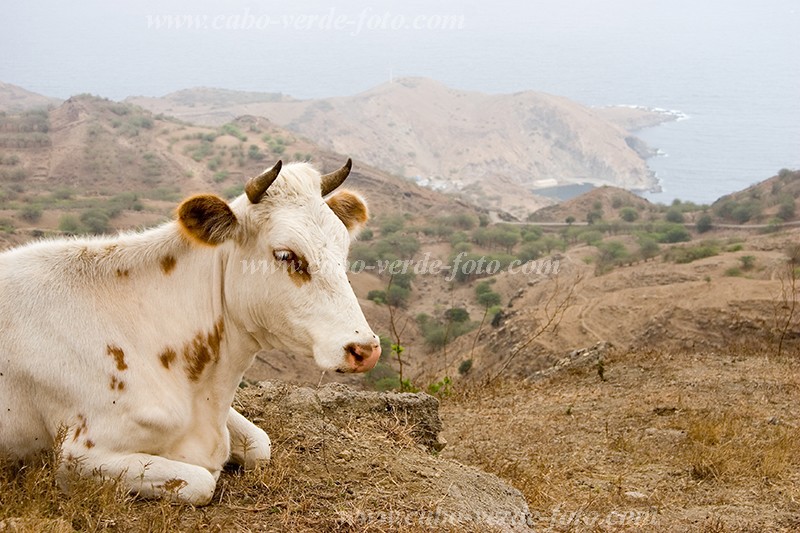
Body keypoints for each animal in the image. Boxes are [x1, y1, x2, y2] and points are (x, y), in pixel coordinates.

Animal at [0, 157, 380, 502]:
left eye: (344, 248)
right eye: (286, 255)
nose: (365, 349)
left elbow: (260, 444)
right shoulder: (76, 457)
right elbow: (201, 482)